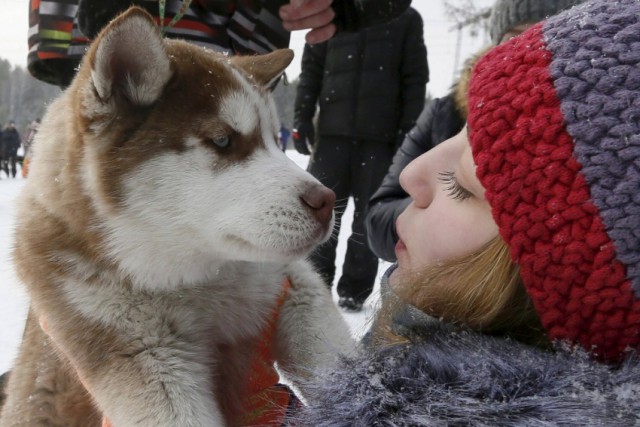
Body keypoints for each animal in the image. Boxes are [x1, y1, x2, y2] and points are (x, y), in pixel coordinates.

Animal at [0, 7, 356, 427]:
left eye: (274, 141)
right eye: (223, 141)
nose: (326, 201)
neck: (195, 276)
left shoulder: (290, 282)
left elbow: (331, 350)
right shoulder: (136, 352)